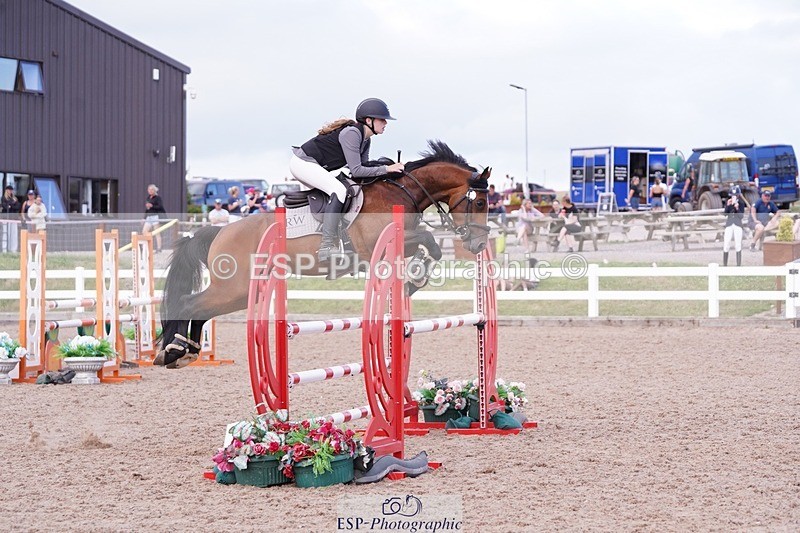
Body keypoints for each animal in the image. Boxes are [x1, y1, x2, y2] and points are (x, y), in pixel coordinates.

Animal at [156, 140, 492, 368]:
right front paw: (415, 278)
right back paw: (174, 351)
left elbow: (430, 245)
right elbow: (429, 239)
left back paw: (185, 351)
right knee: (189, 303)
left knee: (200, 309)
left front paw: (413, 279)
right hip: (234, 288)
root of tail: (220, 232)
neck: (401, 191)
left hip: (237, 292)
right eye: (478, 203)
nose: (478, 245)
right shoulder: (375, 246)